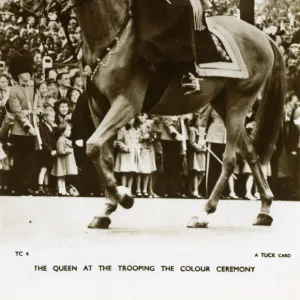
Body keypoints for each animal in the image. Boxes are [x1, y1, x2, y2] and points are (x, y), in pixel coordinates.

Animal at [31, 0, 286, 229]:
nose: (33, 9)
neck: (111, 37)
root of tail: (262, 36)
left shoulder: (126, 104)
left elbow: (93, 146)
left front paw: (124, 198)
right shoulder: (98, 107)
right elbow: (103, 155)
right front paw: (108, 208)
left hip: (239, 100)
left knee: (231, 159)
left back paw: (204, 213)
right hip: (223, 103)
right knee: (250, 152)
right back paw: (265, 208)